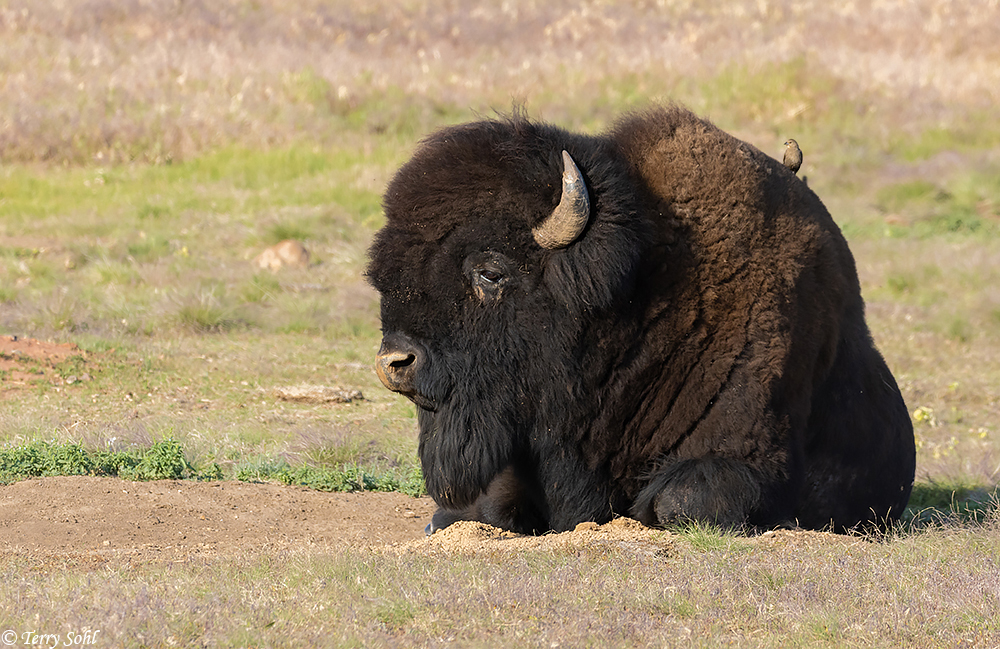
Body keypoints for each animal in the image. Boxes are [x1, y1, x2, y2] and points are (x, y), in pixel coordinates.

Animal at [367, 105, 915, 534]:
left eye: (490, 270)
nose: (396, 362)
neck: (635, 307)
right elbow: (489, 508)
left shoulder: (751, 456)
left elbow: (678, 502)